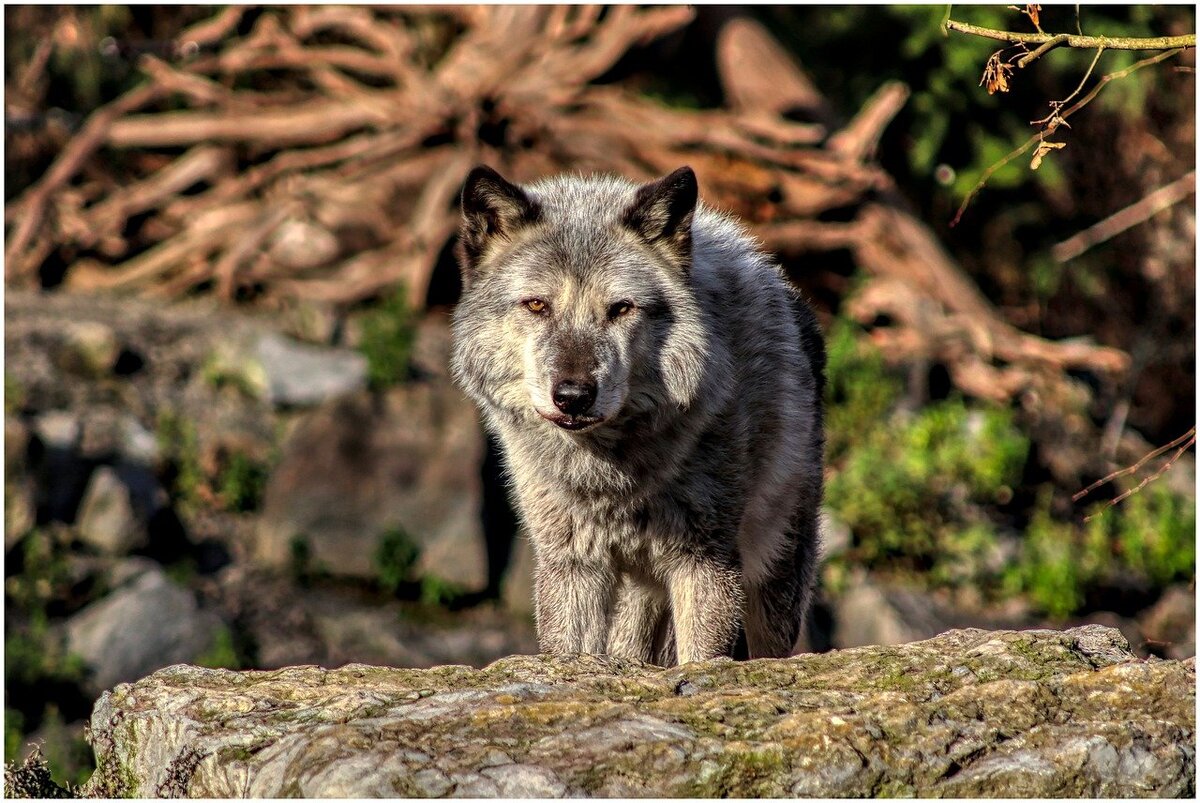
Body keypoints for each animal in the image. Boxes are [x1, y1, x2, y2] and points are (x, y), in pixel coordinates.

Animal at [451, 164, 825, 662]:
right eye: (536, 305)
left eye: (621, 308)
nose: (573, 395)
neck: (611, 474)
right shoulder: (572, 566)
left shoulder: (706, 564)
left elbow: (704, 659)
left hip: (772, 578)